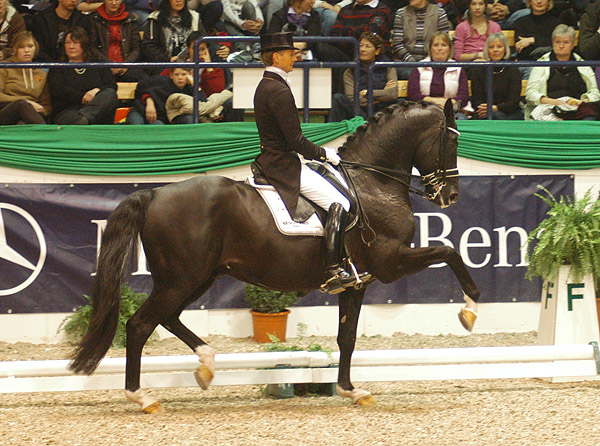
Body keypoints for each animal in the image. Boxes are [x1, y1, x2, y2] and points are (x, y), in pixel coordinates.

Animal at [71, 101, 482, 414]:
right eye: (451, 141)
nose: (451, 196)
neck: (372, 183)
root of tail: (154, 194)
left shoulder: (358, 281)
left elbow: (346, 337)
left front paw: (350, 389)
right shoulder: (390, 262)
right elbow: (449, 251)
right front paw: (470, 308)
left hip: (197, 277)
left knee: (167, 318)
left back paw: (205, 365)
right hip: (180, 279)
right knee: (140, 325)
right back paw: (142, 397)